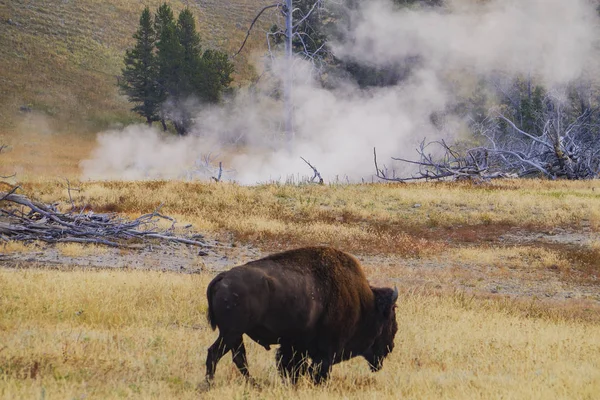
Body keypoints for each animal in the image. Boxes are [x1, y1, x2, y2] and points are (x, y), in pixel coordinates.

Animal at [206, 247, 398, 384]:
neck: (364, 302)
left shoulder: (294, 345)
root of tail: (223, 277)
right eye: (390, 319)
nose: (390, 346)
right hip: (231, 333)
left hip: (233, 335)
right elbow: (315, 369)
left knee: (233, 357)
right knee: (222, 354)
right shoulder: (326, 349)